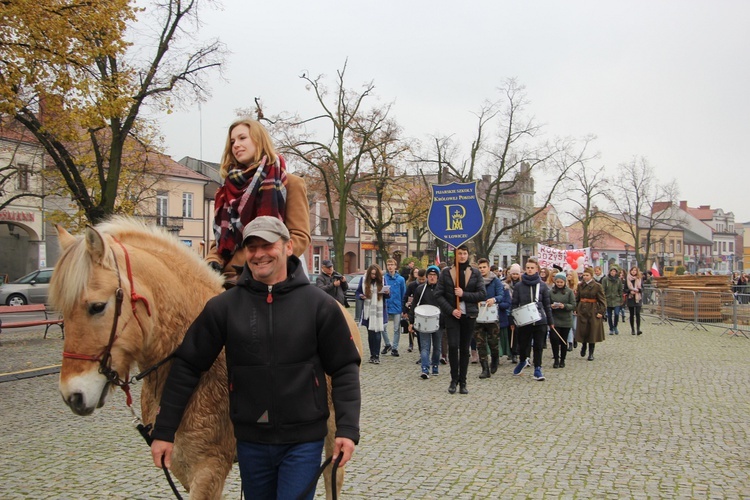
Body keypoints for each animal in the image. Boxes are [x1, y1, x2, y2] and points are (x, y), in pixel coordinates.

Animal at [51, 217, 362, 498]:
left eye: (97, 306)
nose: (72, 396)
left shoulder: (208, 468)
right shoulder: (182, 463)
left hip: (332, 434)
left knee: (331, 476)